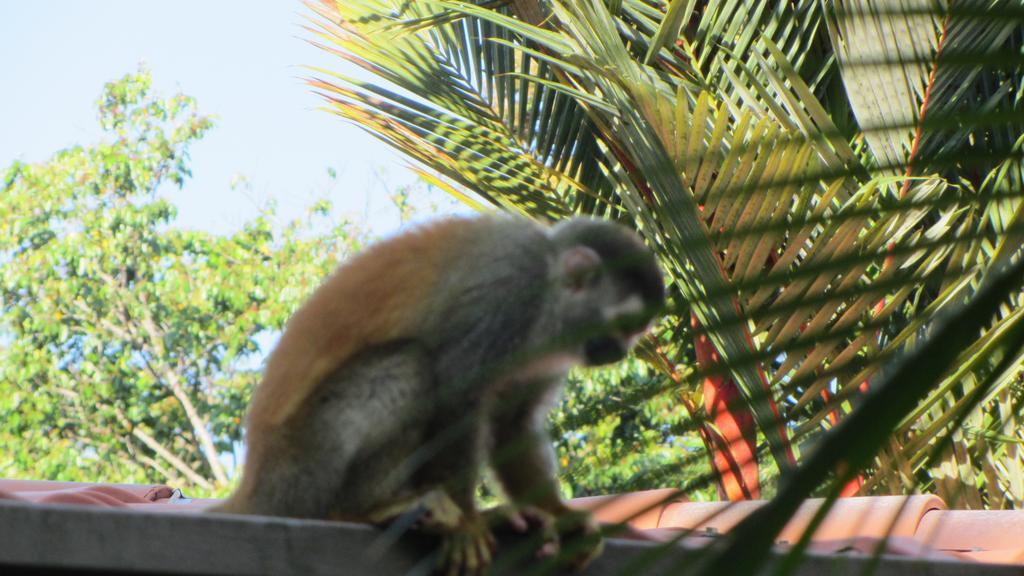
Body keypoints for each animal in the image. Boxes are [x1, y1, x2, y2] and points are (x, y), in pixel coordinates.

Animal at [211, 214, 667, 569]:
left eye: (638, 331)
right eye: (626, 324)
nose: (620, 352)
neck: (550, 295)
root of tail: (255, 487)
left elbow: (513, 422)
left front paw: (560, 515)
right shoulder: (510, 287)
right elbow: (457, 396)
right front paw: (468, 520)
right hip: (304, 463)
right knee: (412, 364)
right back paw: (366, 507)